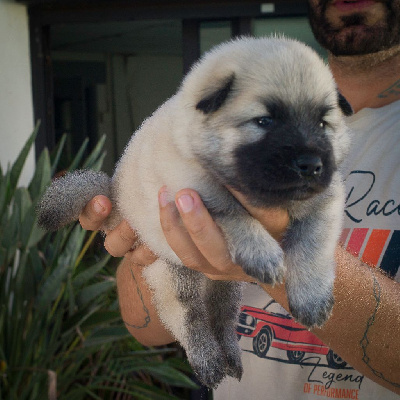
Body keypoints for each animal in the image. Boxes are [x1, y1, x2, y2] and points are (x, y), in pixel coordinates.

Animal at [36, 36, 350, 388]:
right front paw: (261, 252)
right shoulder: (191, 188)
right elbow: (232, 211)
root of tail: (115, 195)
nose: (311, 165)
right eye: (264, 121)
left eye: (323, 124)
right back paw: (208, 361)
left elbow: (312, 245)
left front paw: (311, 297)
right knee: (188, 319)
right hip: (171, 270)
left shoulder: (326, 201)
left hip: (225, 284)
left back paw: (230, 357)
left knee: (223, 317)